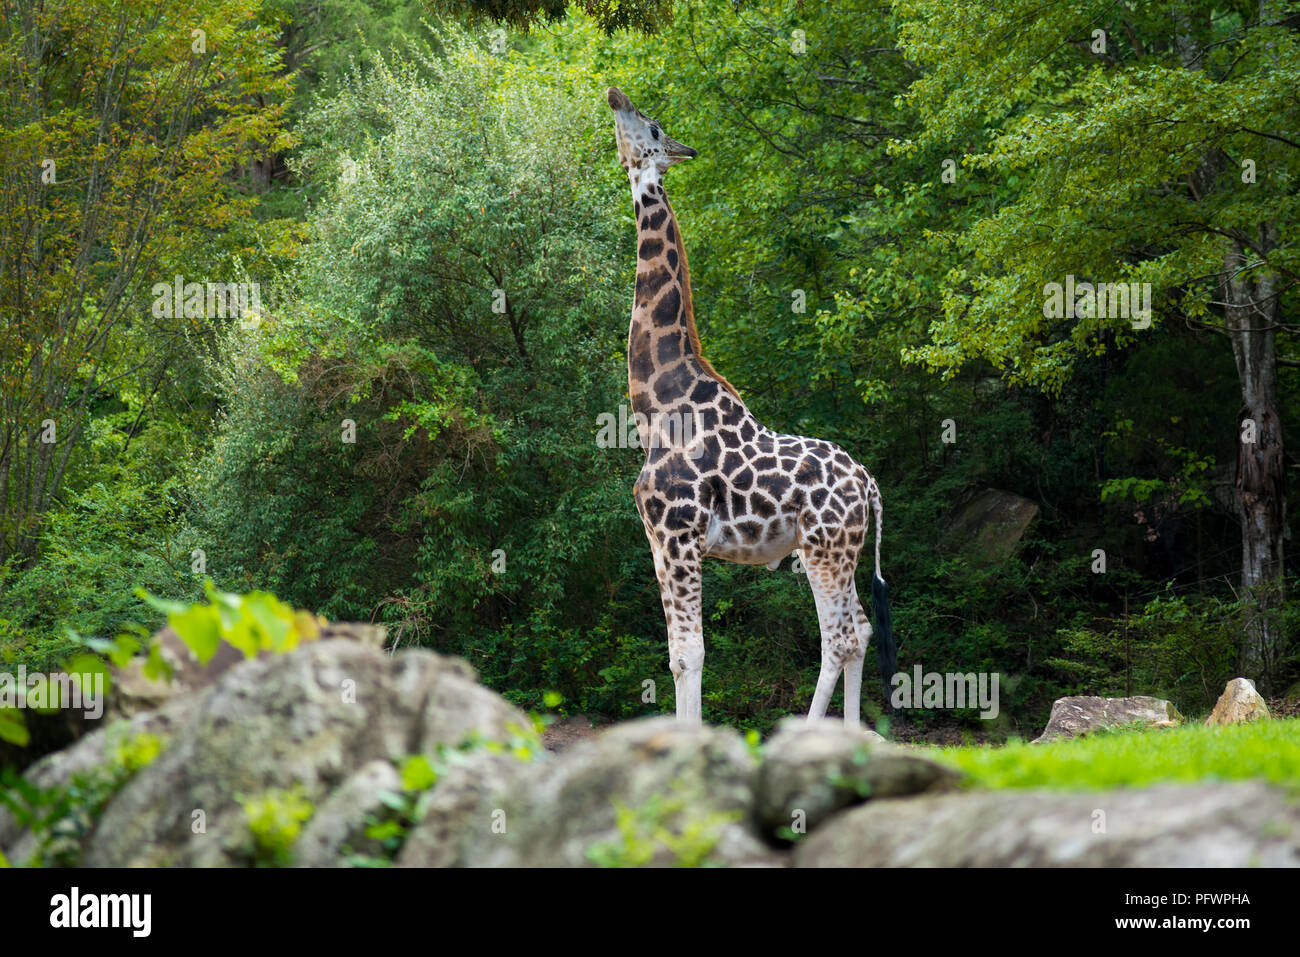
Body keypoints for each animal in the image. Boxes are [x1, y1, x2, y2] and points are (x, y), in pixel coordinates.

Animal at [607, 87, 896, 729]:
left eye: (652, 125)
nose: (614, 94)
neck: (657, 408)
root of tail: (869, 485)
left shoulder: (679, 534)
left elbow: (690, 652)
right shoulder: (657, 541)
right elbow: (676, 654)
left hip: (824, 549)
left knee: (839, 637)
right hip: (840, 550)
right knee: (862, 630)